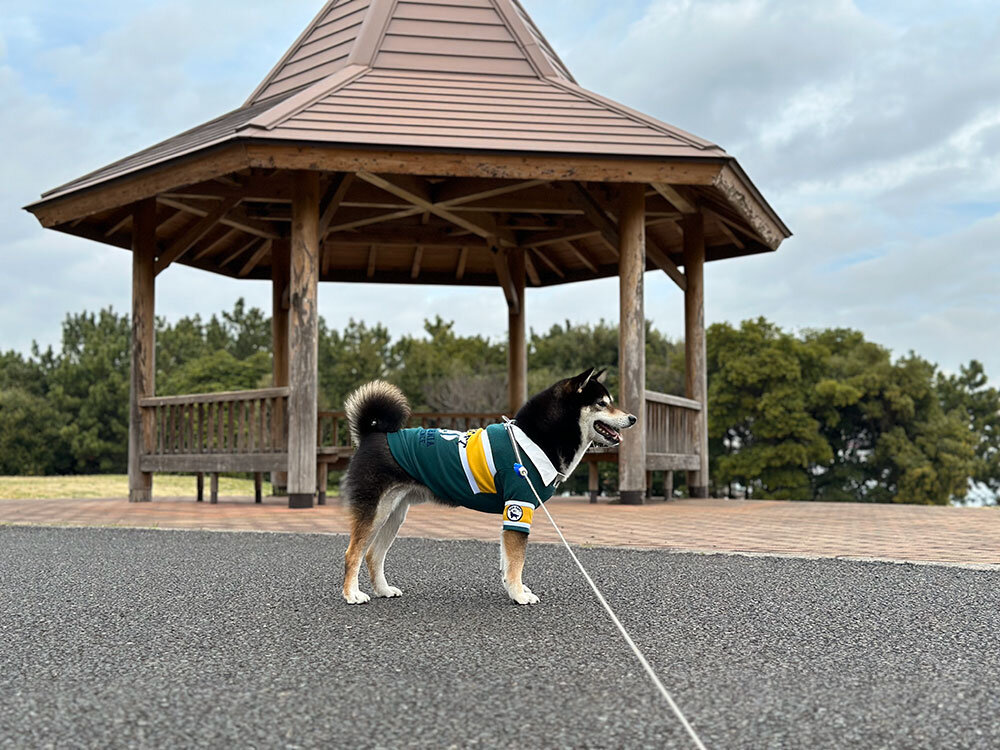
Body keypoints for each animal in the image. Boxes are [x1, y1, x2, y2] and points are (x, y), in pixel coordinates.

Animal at [340, 368, 636, 608]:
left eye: (611, 402)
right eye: (602, 403)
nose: (633, 418)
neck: (534, 440)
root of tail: (372, 433)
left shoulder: (513, 514)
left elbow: (508, 562)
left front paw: (514, 590)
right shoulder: (519, 508)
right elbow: (517, 562)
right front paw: (519, 595)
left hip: (394, 514)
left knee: (372, 555)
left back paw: (383, 590)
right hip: (375, 511)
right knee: (353, 553)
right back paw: (352, 594)